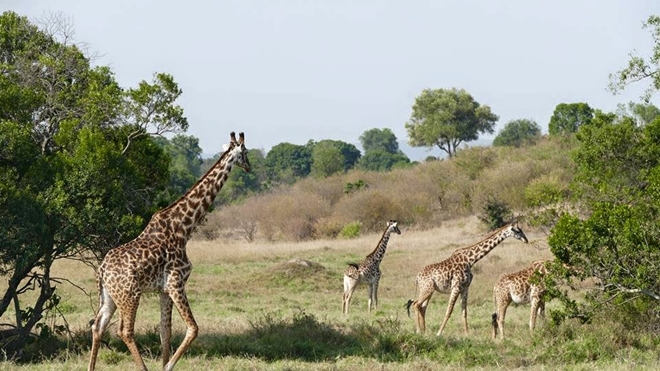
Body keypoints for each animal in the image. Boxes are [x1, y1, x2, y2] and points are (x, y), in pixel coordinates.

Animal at [87, 132, 250, 370]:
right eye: (245, 152)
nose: (249, 166)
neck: (184, 227)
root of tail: (102, 270)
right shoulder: (176, 282)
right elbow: (193, 328)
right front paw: (167, 366)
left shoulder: (164, 289)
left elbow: (166, 332)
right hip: (130, 295)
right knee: (124, 331)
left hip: (109, 295)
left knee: (98, 326)